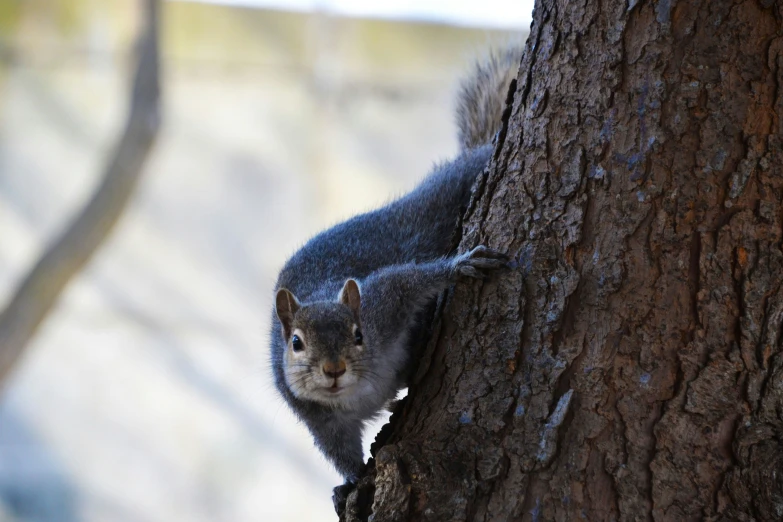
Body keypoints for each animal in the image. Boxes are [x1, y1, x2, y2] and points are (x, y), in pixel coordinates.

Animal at [268, 44, 520, 488]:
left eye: (358, 333)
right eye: (295, 343)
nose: (333, 369)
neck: (358, 390)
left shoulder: (383, 301)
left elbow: (409, 279)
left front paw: (461, 266)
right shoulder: (320, 421)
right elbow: (340, 453)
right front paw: (352, 484)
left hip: (439, 197)